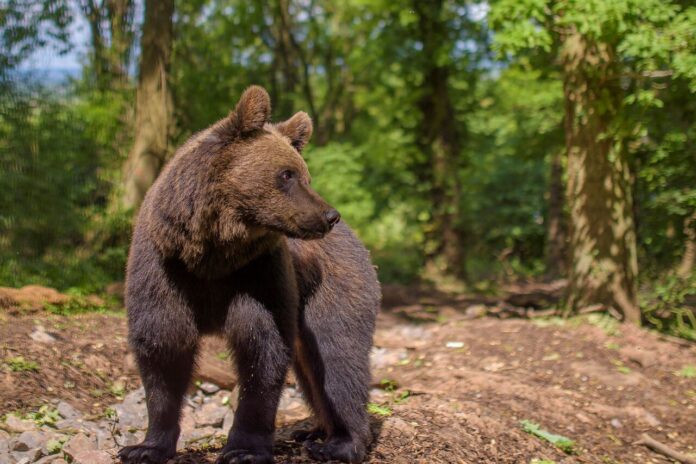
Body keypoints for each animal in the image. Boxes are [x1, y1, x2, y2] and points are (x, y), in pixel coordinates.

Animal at [119, 87, 380, 464]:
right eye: (287, 174)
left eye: (303, 174)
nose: (330, 215)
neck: (210, 253)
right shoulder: (164, 271)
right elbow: (163, 348)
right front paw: (145, 447)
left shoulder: (258, 273)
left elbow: (262, 348)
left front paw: (244, 449)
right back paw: (314, 429)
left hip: (336, 285)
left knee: (337, 356)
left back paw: (342, 442)